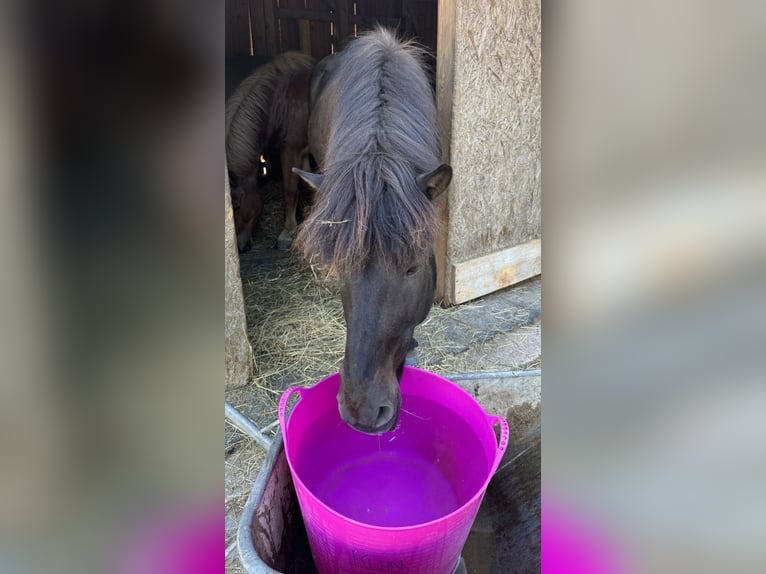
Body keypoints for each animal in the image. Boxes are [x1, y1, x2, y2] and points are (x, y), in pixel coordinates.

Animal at [225, 51, 314, 252]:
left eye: (237, 206)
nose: (240, 247)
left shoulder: (290, 150)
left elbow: (290, 191)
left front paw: (287, 233)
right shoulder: (302, 151)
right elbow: (307, 184)